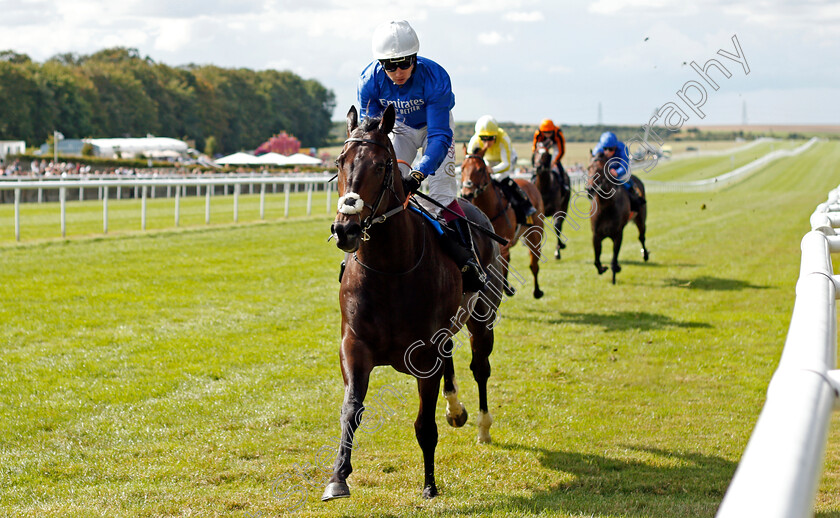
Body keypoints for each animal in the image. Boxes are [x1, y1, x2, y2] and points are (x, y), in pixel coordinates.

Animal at [324, 106, 502, 504]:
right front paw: (338, 477)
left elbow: (424, 424)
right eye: (340, 162)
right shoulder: (354, 344)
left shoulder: (425, 355)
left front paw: (430, 485)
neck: (391, 269)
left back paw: (482, 426)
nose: (346, 229)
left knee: (480, 367)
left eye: (379, 165)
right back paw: (457, 409)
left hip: (483, 317)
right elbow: (350, 409)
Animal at [460, 146, 544, 300]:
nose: (466, 193)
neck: (490, 207)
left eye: (480, 169)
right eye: (462, 168)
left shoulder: (503, 242)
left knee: (534, 262)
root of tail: (529, 182)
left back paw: (536, 291)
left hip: (535, 233)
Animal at [588, 152, 648, 286]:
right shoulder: (596, 235)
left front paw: (615, 272)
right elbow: (596, 260)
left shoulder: (617, 235)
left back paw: (645, 255)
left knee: (641, 237)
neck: (606, 208)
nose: (589, 189)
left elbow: (614, 259)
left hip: (640, 219)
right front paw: (602, 268)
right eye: (588, 167)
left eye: (601, 169)